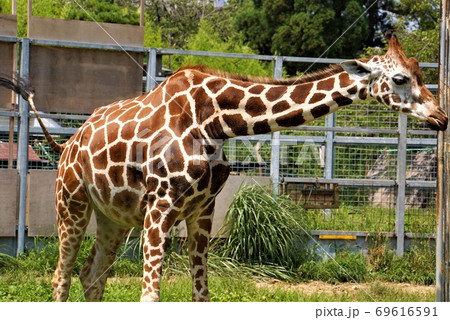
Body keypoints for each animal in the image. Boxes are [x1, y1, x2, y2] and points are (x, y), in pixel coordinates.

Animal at [0, 33, 446, 302]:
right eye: (401, 79)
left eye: (421, 73)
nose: (441, 117)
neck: (215, 120)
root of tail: (67, 145)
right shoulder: (160, 207)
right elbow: (150, 295)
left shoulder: (202, 210)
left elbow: (201, 294)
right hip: (72, 204)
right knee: (61, 277)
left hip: (115, 217)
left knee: (92, 276)